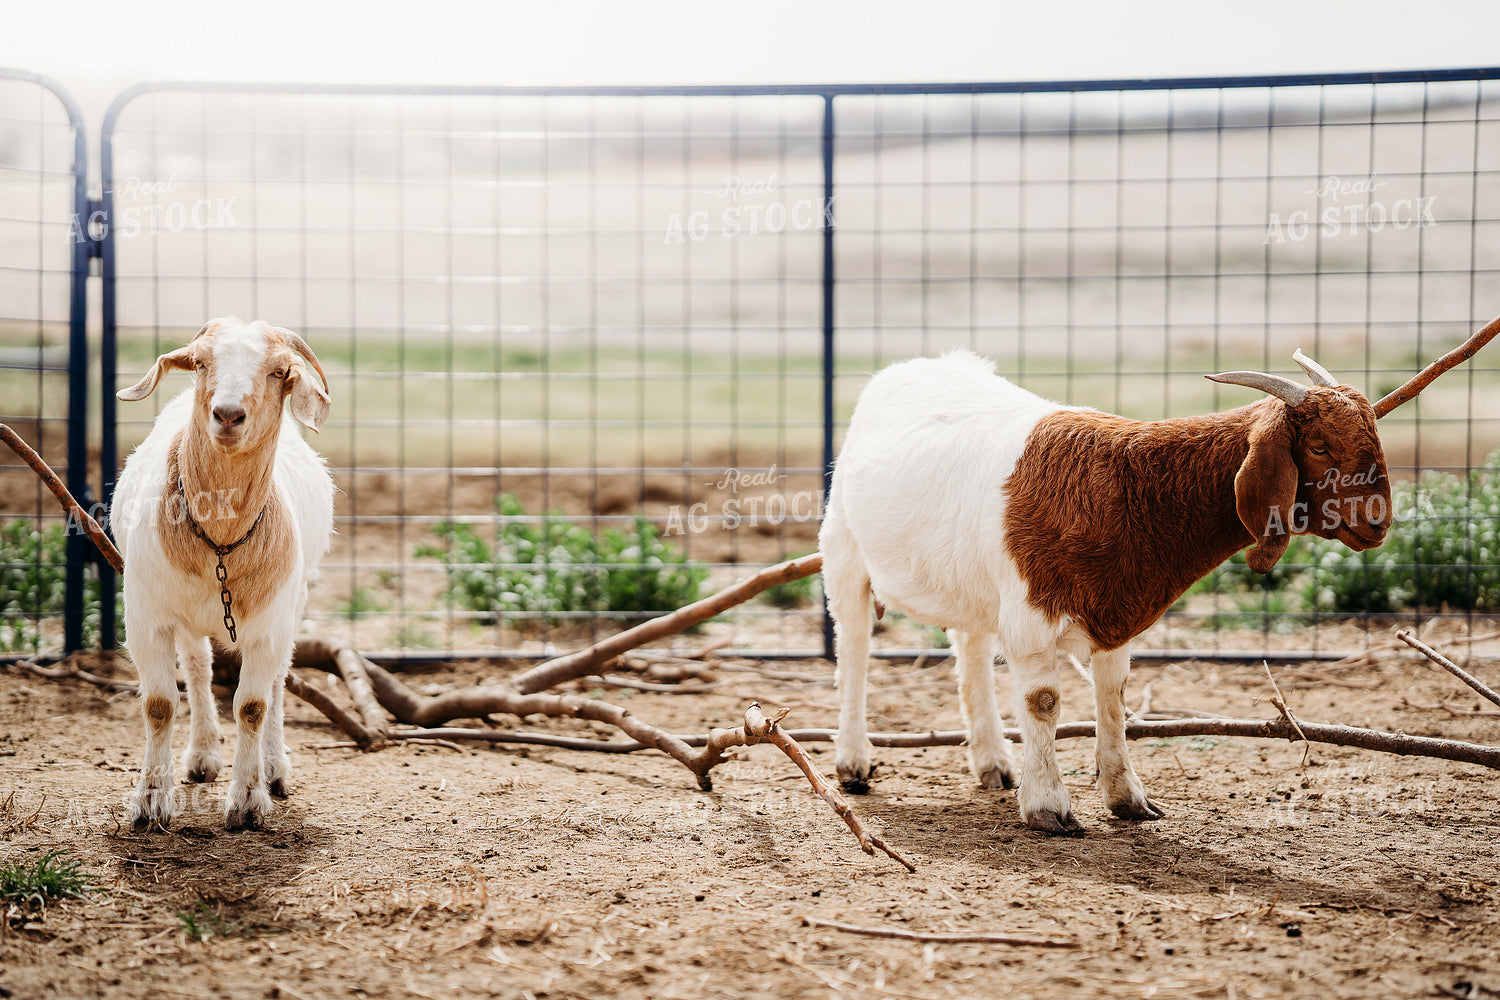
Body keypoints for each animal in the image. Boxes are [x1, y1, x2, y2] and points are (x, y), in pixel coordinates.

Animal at [111, 318, 334, 830]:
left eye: (279, 371)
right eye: (199, 362)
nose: (228, 415)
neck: (220, 539)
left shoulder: (270, 624)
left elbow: (252, 706)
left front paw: (249, 801)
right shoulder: (148, 617)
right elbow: (159, 704)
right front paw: (150, 801)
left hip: (294, 605)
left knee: (277, 681)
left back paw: (274, 767)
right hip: (189, 618)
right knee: (197, 667)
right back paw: (202, 755)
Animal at [820, 349, 1390, 833]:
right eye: (1318, 446)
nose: (1379, 521)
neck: (1129, 488)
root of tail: (921, 364)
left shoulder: (1115, 615)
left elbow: (1112, 697)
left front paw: (1128, 799)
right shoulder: (1031, 619)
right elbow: (1044, 702)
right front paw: (1048, 808)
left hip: (968, 580)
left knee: (971, 649)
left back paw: (993, 762)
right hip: (843, 551)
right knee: (854, 647)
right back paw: (853, 762)